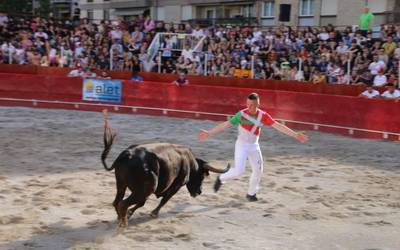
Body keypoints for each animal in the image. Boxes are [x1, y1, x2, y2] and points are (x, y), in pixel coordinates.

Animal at [101, 110, 231, 228]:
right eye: (202, 176)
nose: (199, 192)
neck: (190, 161)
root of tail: (128, 154)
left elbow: (142, 203)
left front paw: (130, 213)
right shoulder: (176, 185)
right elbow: (164, 199)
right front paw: (153, 213)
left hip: (121, 184)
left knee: (117, 201)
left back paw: (120, 218)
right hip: (146, 188)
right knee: (123, 203)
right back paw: (123, 222)